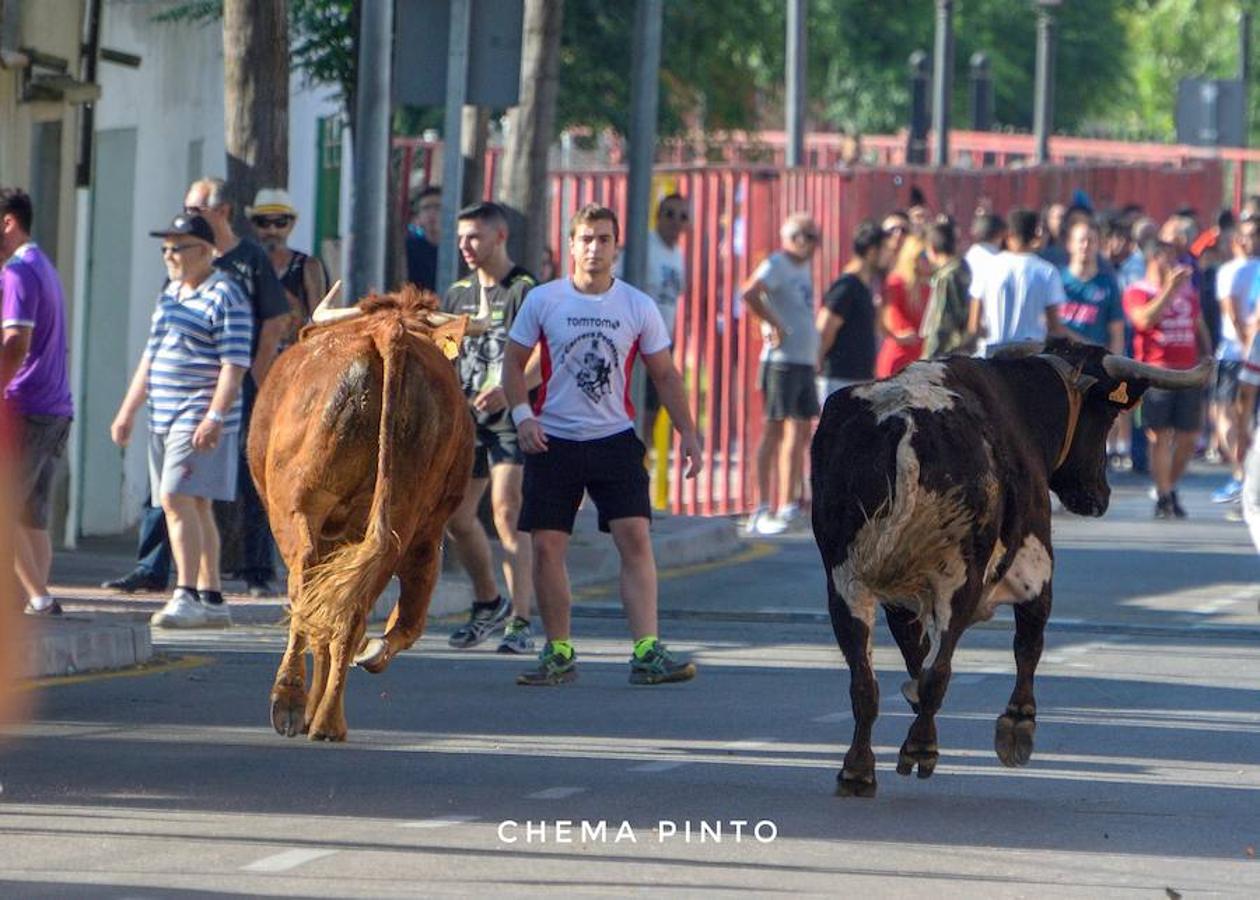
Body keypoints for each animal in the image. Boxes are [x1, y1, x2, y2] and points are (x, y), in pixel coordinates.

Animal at [249, 286, 473, 736]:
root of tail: (390, 334)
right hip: (397, 521)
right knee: (353, 611)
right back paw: (328, 716)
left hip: (300, 510)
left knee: (306, 589)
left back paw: (294, 703)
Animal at [806, 337, 1209, 791]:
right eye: (1108, 415)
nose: (1099, 494)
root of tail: (903, 421)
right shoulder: (1037, 567)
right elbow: (1028, 644)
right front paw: (1018, 724)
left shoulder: (900, 598)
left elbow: (914, 653)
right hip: (956, 578)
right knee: (940, 670)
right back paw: (920, 747)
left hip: (846, 582)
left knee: (865, 680)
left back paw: (858, 768)